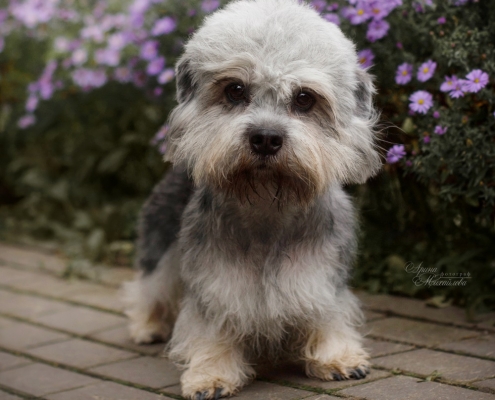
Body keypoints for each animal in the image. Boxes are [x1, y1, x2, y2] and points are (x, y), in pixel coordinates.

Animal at [123, 1, 380, 398]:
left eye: (304, 98)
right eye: (235, 90)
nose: (266, 138)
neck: (267, 207)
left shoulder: (321, 275)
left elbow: (328, 312)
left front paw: (336, 355)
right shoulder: (214, 281)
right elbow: (211, 323)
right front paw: (211, 373)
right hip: (160, 244)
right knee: (148, 287)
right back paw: (146, 326)